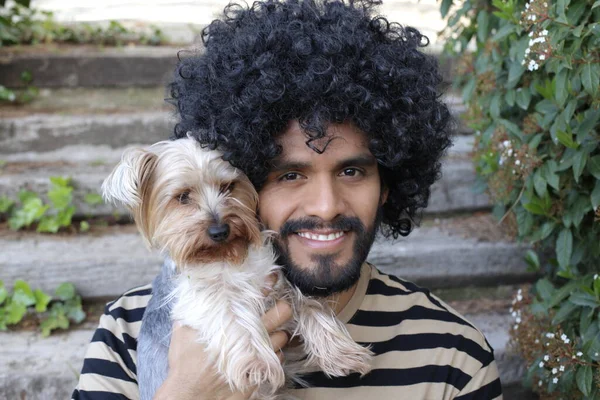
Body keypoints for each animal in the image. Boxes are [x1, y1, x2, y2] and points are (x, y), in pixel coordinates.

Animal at [102, 138, 372, 400]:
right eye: (182, 197)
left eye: (228, 186)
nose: (219, 231)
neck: (228, 257)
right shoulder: (201, 295)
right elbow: (233, 314)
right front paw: (257, 365)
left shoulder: (274, 281)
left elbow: (307, 303)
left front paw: (341, 352)